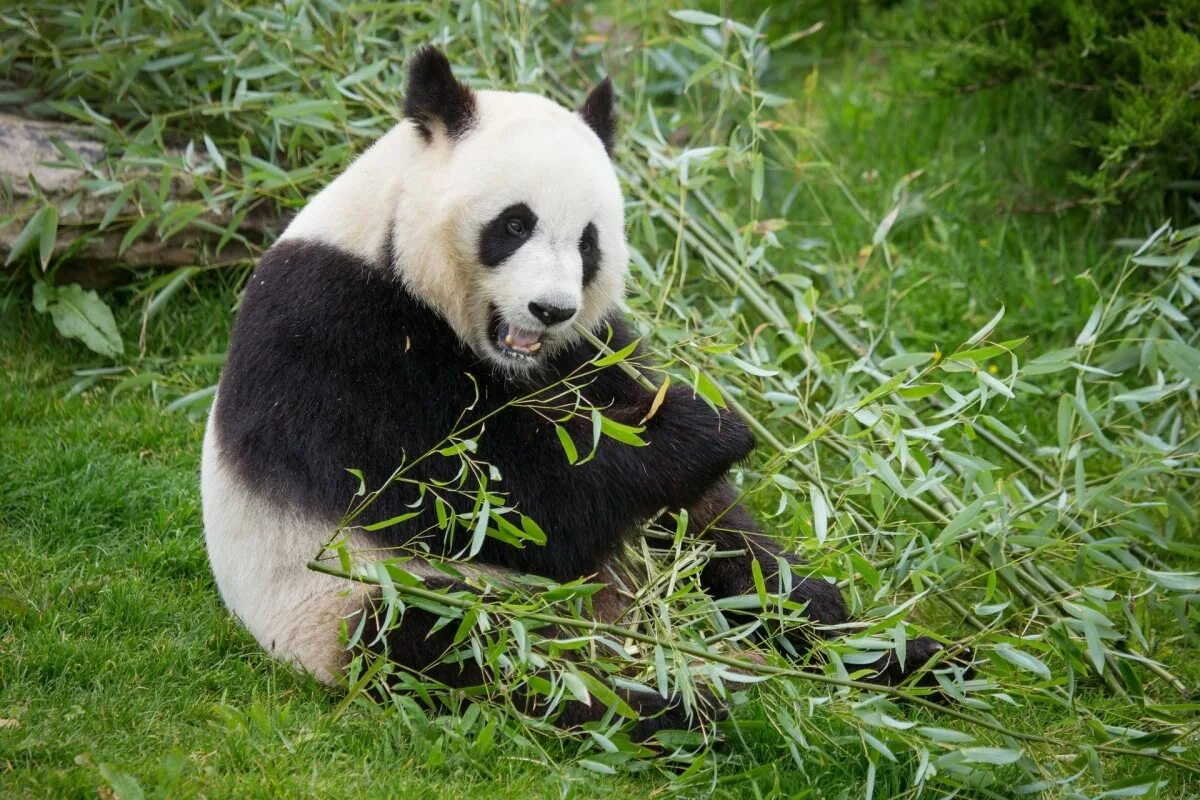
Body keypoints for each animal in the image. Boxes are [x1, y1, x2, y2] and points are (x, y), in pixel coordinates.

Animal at [199, 47, 945, 743]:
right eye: (513, 224)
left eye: (589, 242)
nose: (551, 310)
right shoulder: (335, 341)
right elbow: (493, 501)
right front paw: (708, 427)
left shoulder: (592, 351)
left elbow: (693, 506)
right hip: (350, 597)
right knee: (463, 646)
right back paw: (675, 709)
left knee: (734, 578)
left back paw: (902, 660)